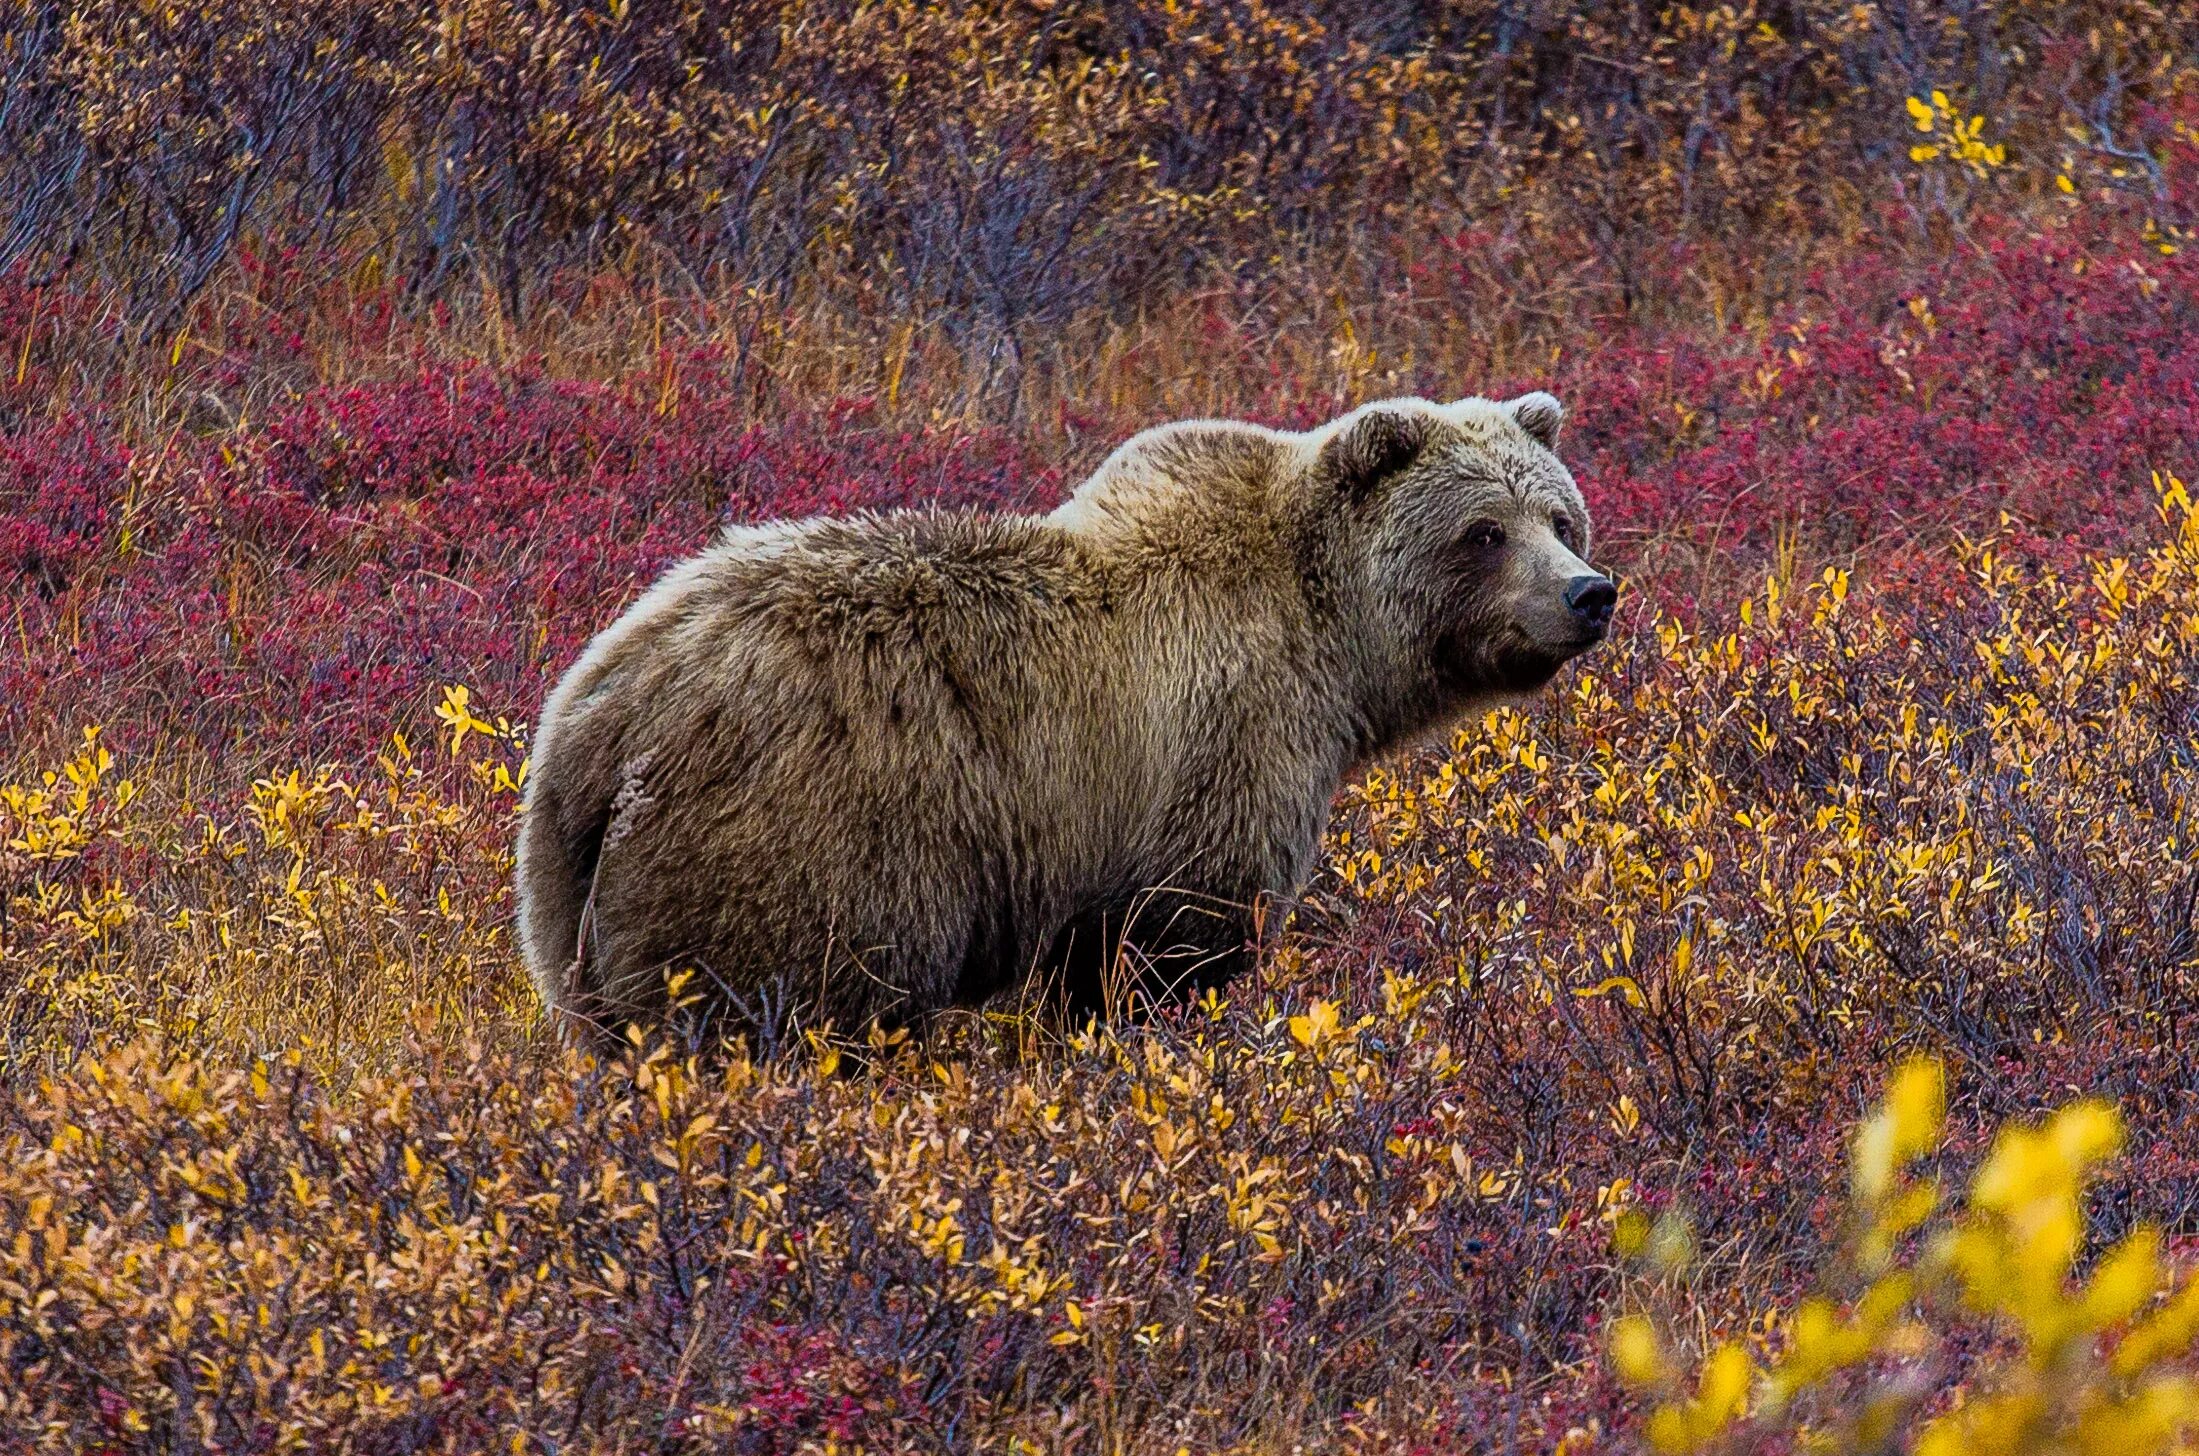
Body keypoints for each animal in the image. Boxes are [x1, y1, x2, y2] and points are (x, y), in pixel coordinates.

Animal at [514, 391, 1618, 1051]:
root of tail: (601, 721)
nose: (1588, 592)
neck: (1333, 642)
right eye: (1483, 532)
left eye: (1561, 516)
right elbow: (1171, 939)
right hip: (800, 848)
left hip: (568, 906)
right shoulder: (1218, 748)